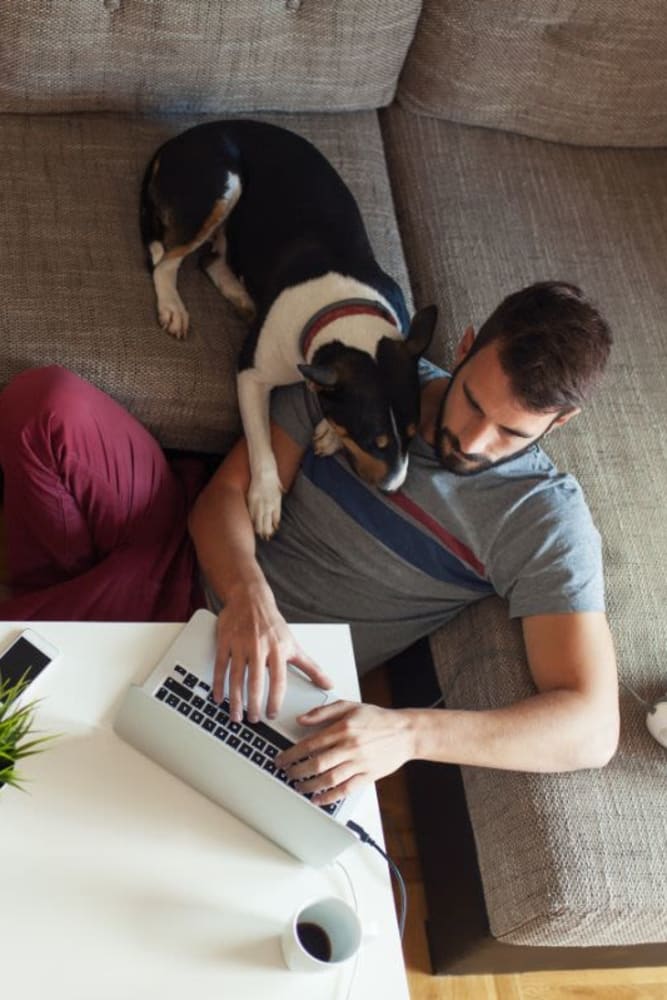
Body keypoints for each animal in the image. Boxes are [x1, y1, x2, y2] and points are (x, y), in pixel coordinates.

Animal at [141, 118, 438, 540]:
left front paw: (328, 431)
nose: (393, 489)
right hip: (223, 186)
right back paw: (173, 306)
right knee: (167, 261)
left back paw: (241, 297)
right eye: (373, 440)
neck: (346, 314)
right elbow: (260, 441)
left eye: (413, 434)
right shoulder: (250, 375)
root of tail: (185, 137)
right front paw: (266, 500)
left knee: (210, 261)